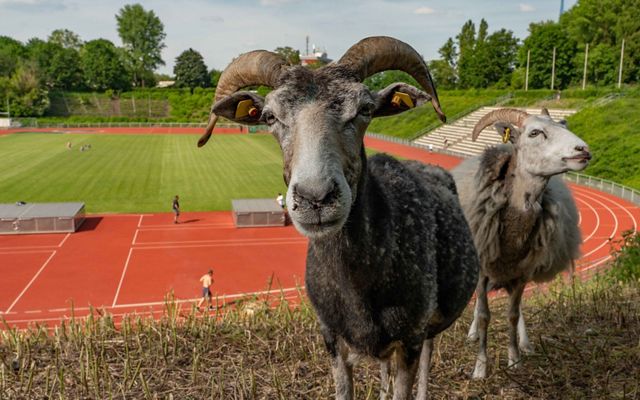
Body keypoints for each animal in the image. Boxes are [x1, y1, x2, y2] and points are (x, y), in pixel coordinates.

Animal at [450, 108, 592, 379]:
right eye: (534, 133)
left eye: (563, 125)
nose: (583, 149)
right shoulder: (483, 269)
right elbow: (484, 315)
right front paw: (480, 367)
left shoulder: (523, 271)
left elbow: (513, 314)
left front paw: (514, 359)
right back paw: (473, 334)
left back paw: (525, 343)